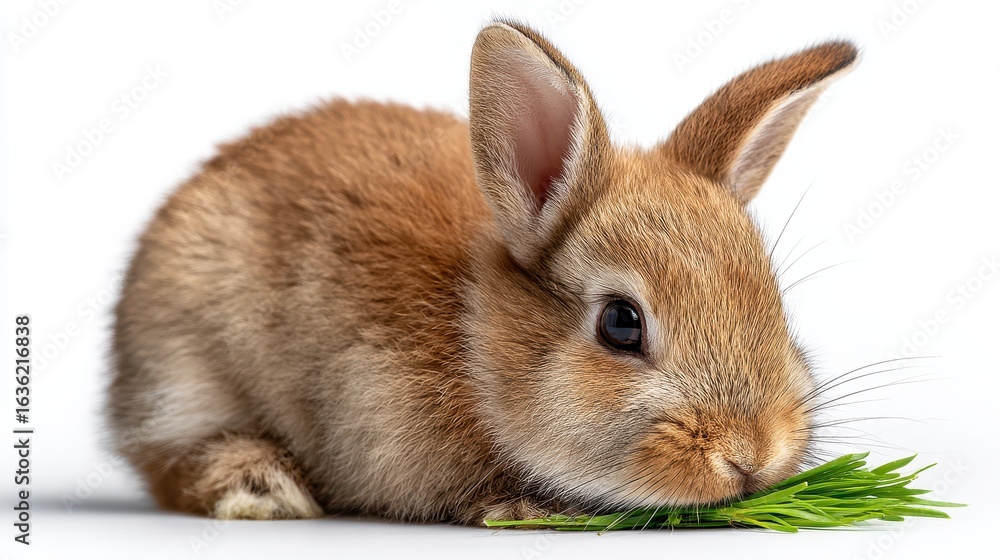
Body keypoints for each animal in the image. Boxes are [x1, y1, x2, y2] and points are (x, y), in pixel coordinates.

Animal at [108, 20, 858, 524]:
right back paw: (262, 487)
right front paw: (527, 512)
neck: (476, 342)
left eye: (772, 301)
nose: (752, 454)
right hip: (182, 368)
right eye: (621, 323)